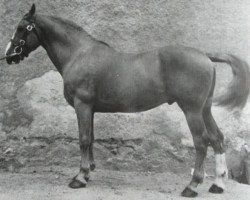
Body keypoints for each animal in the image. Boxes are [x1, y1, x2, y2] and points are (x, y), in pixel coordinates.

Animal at [4, 3, 250, 198]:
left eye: (21, 28)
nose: (8, 55)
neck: (79, 54)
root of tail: (205, 55)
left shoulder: (82, 105)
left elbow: (83, 139)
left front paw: (80, 177)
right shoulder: (90, 109)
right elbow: (91, 138)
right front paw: (89, 171)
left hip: (191, 111)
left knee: (201, 142)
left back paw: (192, 186)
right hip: (205, 109)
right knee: (217, 138)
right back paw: (218, 184)